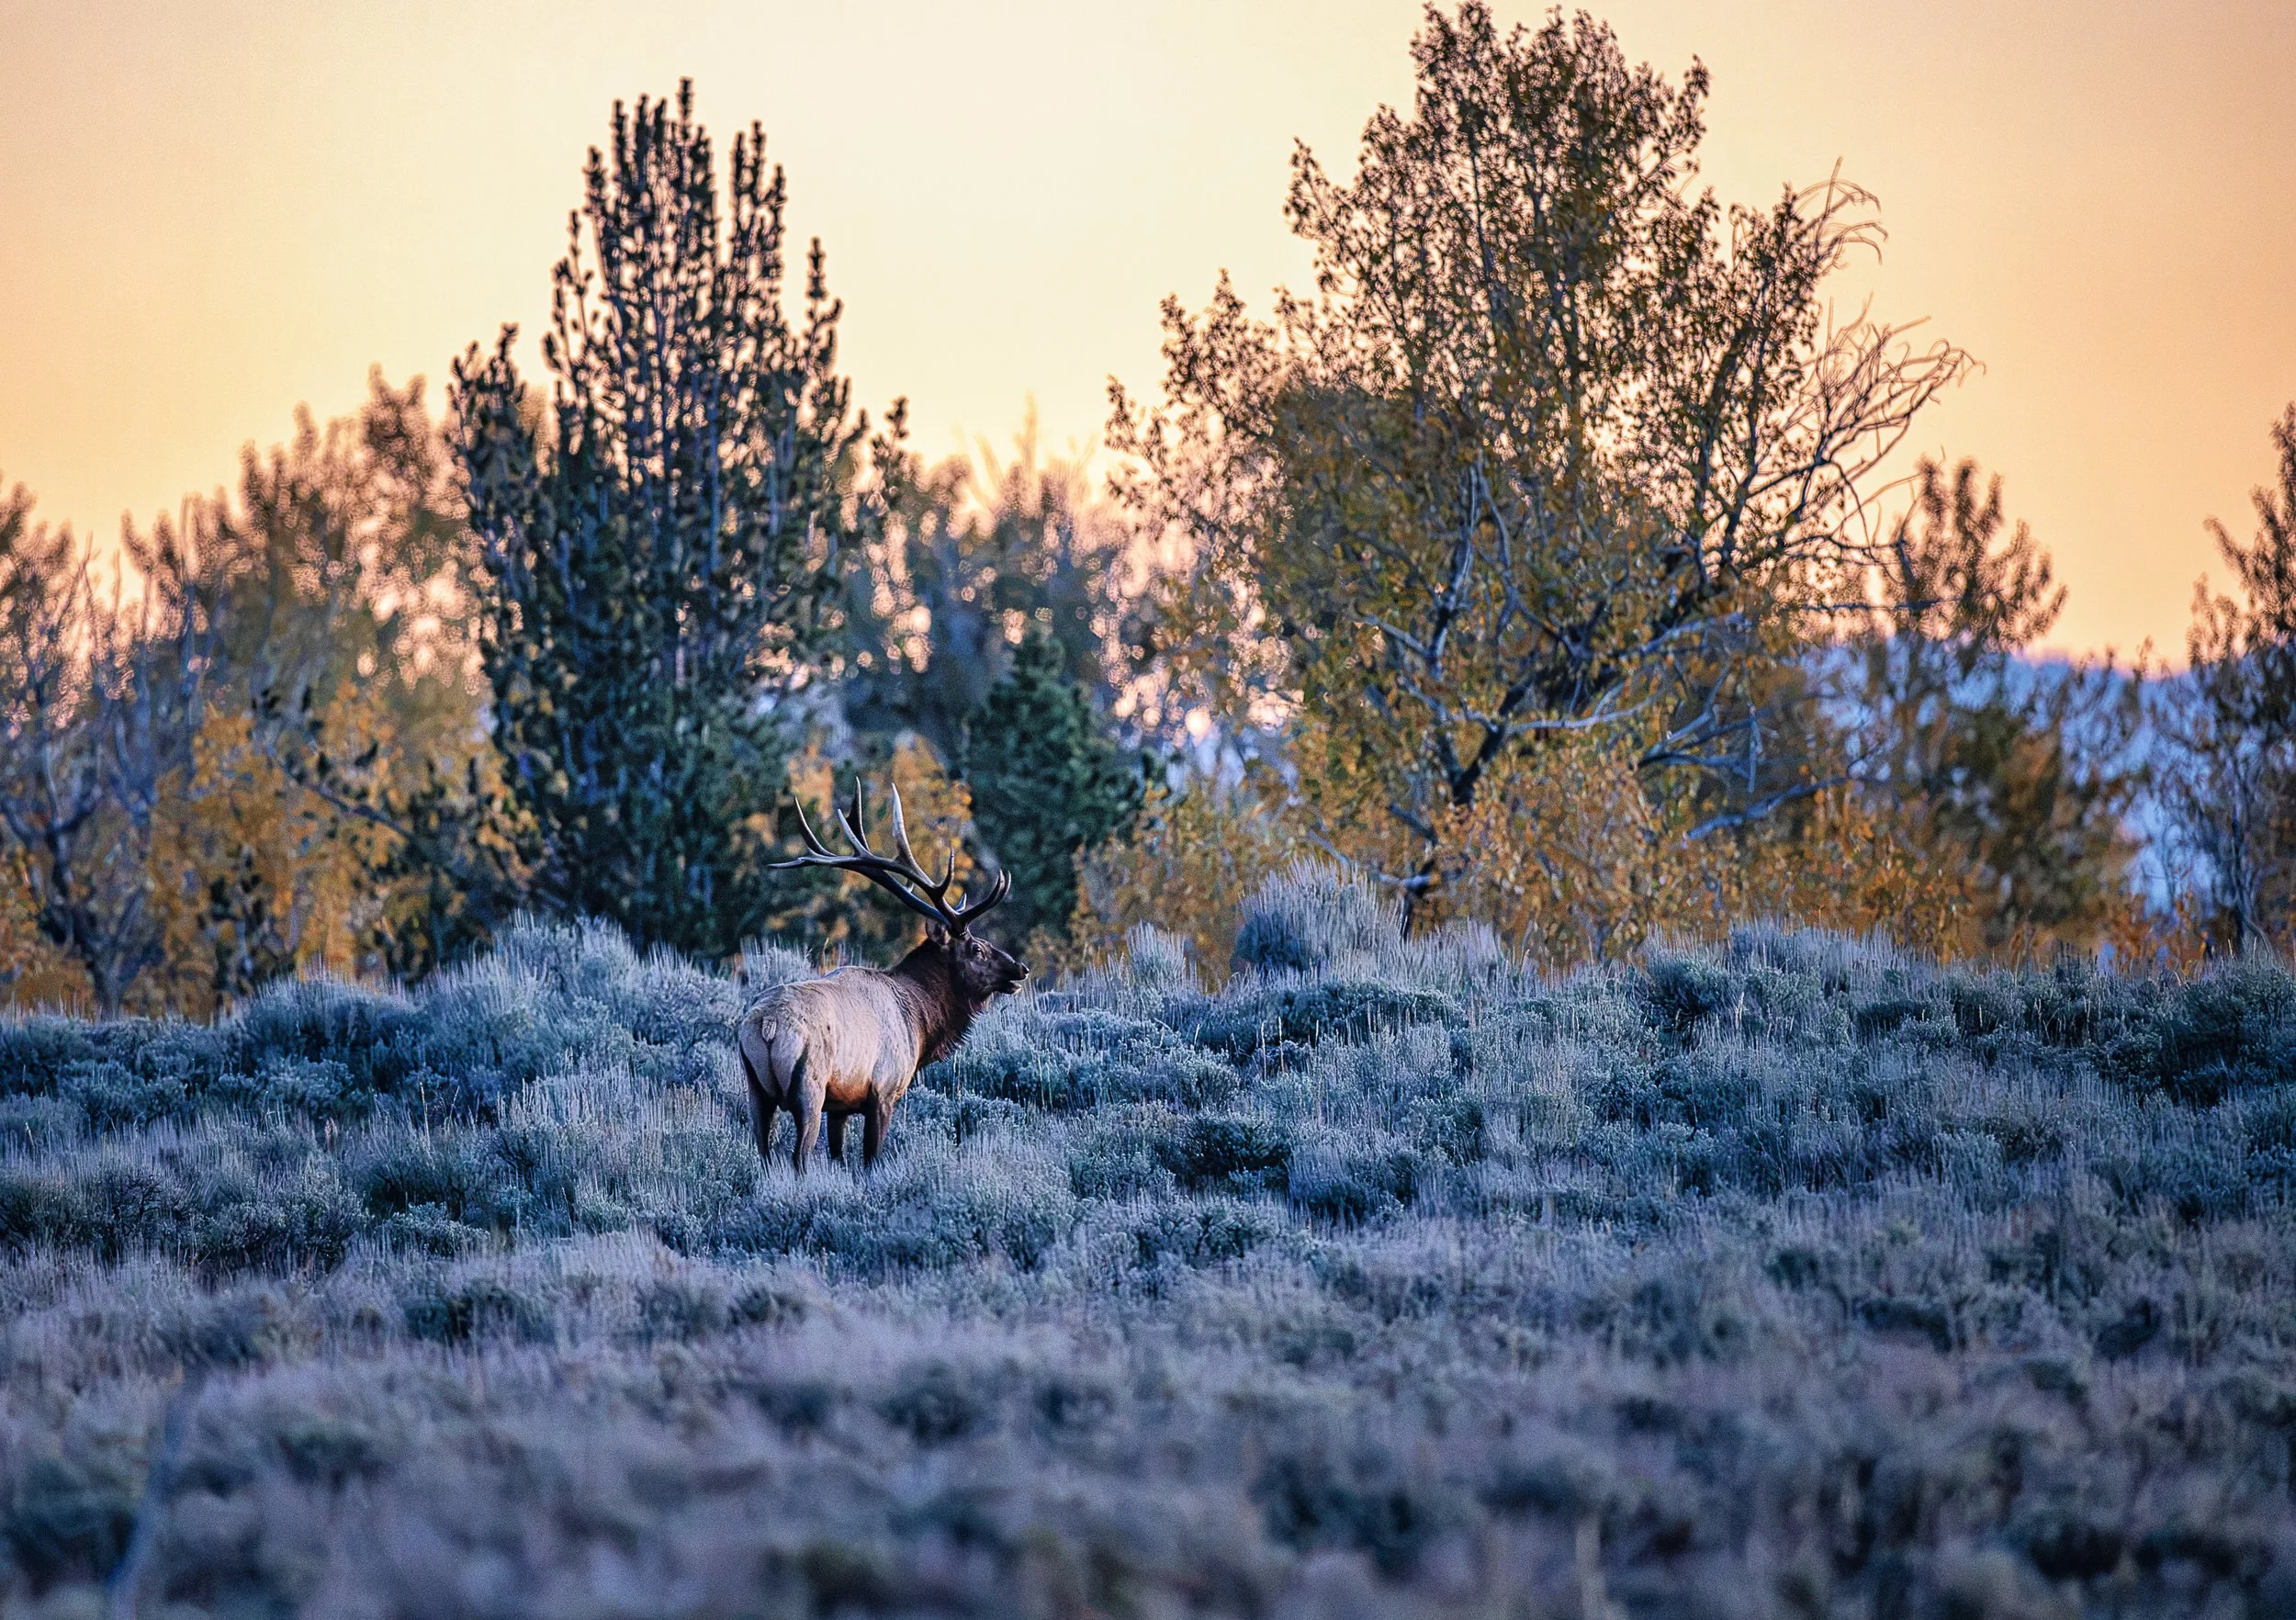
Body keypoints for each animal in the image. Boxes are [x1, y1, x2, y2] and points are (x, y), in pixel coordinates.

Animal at [736, 782, 1025, 1175]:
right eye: (977, 948)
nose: (1020, 969)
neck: (919, 1021)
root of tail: (767, 1024)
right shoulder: (884, 1091)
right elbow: (872, 1158)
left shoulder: (840, 1105)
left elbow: (839, 1154)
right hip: (809, 1087)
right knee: (799, 1157)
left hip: (756, 1090)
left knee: (764, 1152)